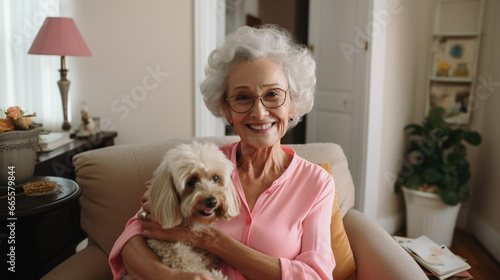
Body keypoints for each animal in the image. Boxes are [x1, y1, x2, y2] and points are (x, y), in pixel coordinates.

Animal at [146, 142, 239, 280]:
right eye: (191, 181)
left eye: (215, 178)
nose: (212, 201)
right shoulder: (171, 248)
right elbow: (189, 263)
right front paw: (216, 276)